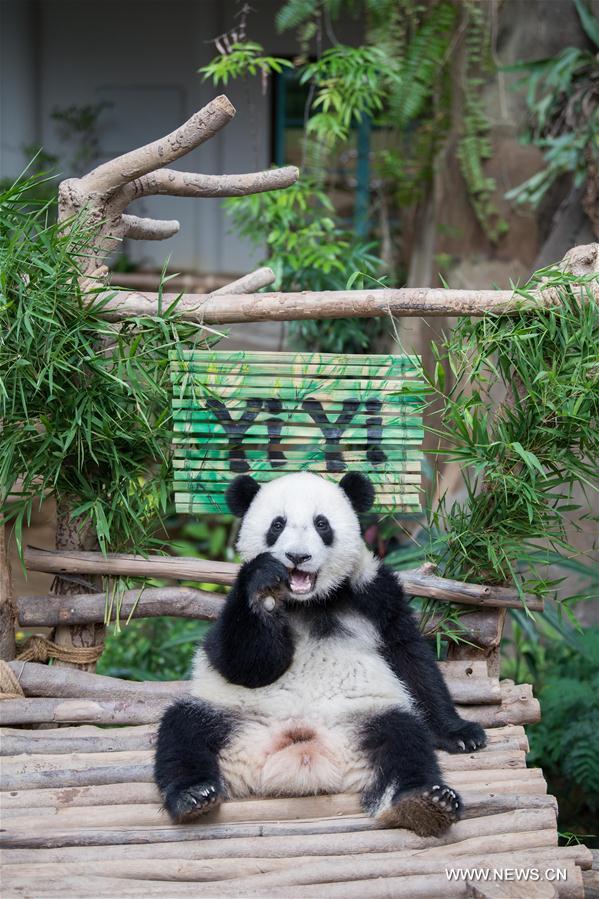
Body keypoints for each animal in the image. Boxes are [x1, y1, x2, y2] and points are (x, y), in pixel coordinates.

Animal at [154, 470, 486, 837]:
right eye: (277, 524)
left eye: (321, 524)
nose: (297, 557)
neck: (309, 602)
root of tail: (306, 756)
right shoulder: (234, 605)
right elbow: (244, 664)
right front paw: (263, 585)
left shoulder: (374, 594)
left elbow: (410, 660)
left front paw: (460, 733)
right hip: (233, 719)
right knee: (182, 732)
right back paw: (193, 795)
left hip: (365, 718)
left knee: (404, 738)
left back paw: (425, 801)